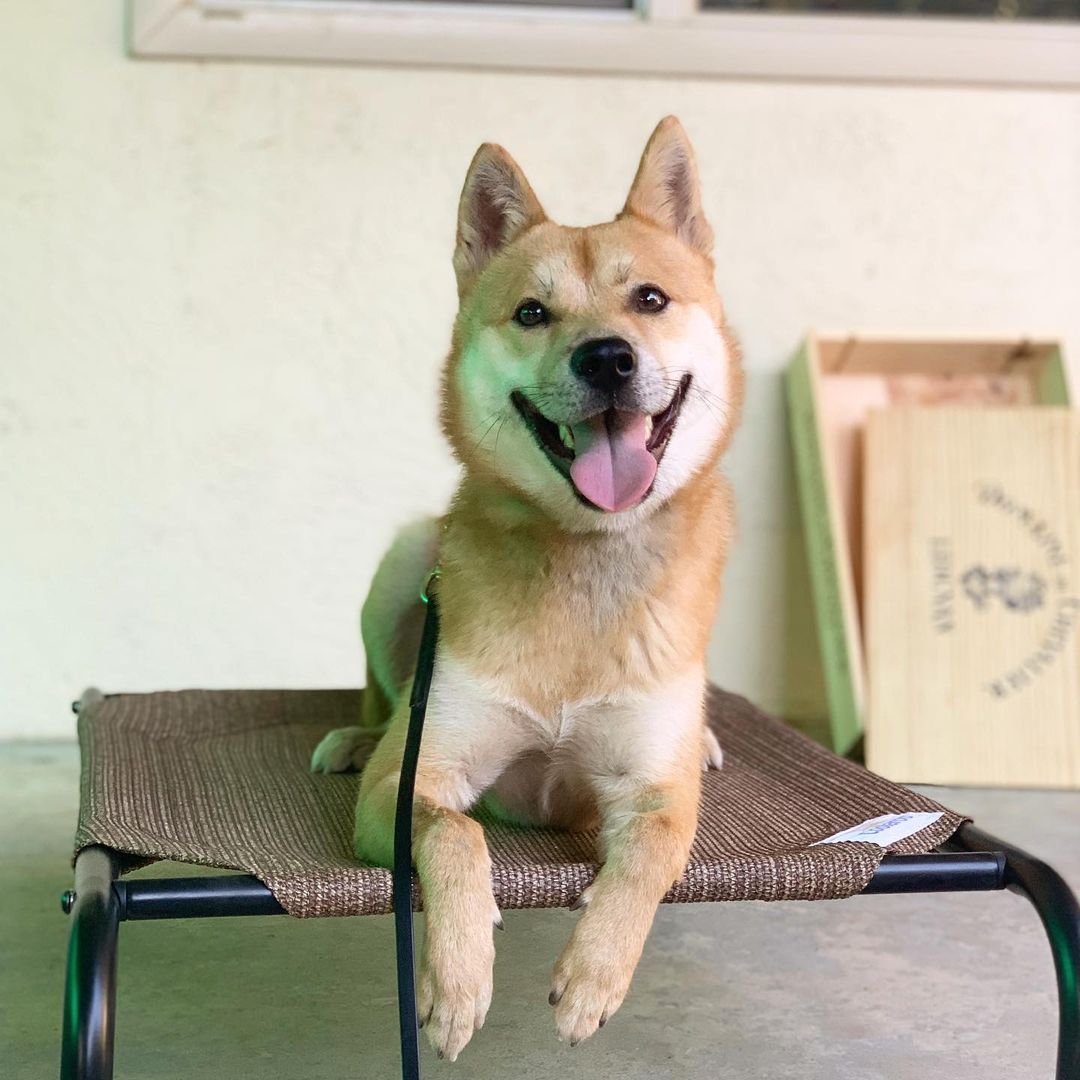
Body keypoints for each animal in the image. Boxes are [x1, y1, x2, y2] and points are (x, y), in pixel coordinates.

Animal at [313, 113, 743, 1058]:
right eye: (533, 313)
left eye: (649, 299)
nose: (608, 359)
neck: (585, 557)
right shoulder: (413, 783)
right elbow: (455, 833)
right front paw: (458, 977)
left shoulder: (651, 795)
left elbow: (649, 856)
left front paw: (593, 973)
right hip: (405, 565)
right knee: (382, 697)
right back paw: (356, 733)